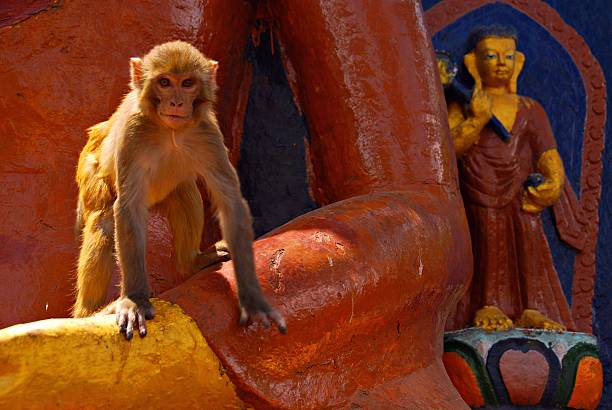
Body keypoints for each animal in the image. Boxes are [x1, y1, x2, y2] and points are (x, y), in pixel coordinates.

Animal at [74, 40, 286, 340]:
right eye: (164, 82)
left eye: (187, 83)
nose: (176, 102)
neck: (169, 130)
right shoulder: (133, 134)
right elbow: (127, 208)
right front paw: (135, 299)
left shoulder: (207, 132)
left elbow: (230, 202)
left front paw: (253, 298)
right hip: (89, 173)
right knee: (104, 219)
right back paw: (90, 313)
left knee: (185, 191)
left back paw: (191, 263)